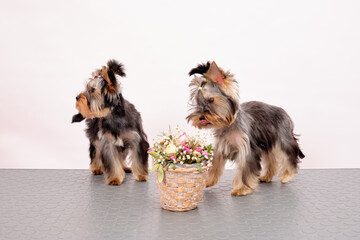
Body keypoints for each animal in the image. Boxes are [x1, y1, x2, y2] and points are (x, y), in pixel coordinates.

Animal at [187, 61, 306, 196]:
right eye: (198, 102)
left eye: (211, 99)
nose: (201, 117)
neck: (227, 125)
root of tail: (284, 112)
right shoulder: (220, 148)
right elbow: (215, 165)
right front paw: (207, 181)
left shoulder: (247, 150)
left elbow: (245, 170)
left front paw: (242, 188)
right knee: (271, 159)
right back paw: (267, 176)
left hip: (283, 138)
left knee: (289, 155)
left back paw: (286, 175)